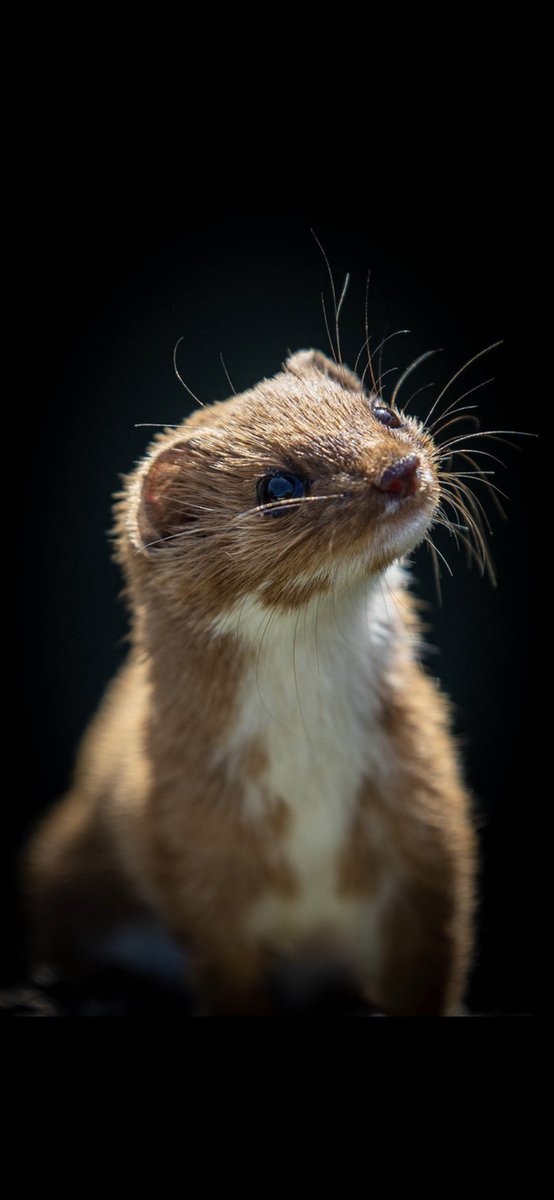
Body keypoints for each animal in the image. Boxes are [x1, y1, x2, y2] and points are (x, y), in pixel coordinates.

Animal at [22, 345, 477, 1012]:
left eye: (382, 410)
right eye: (279, 485)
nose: (399, 470)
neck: (311, 769)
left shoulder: (428, 822)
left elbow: (430, 964)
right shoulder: (197, 856)